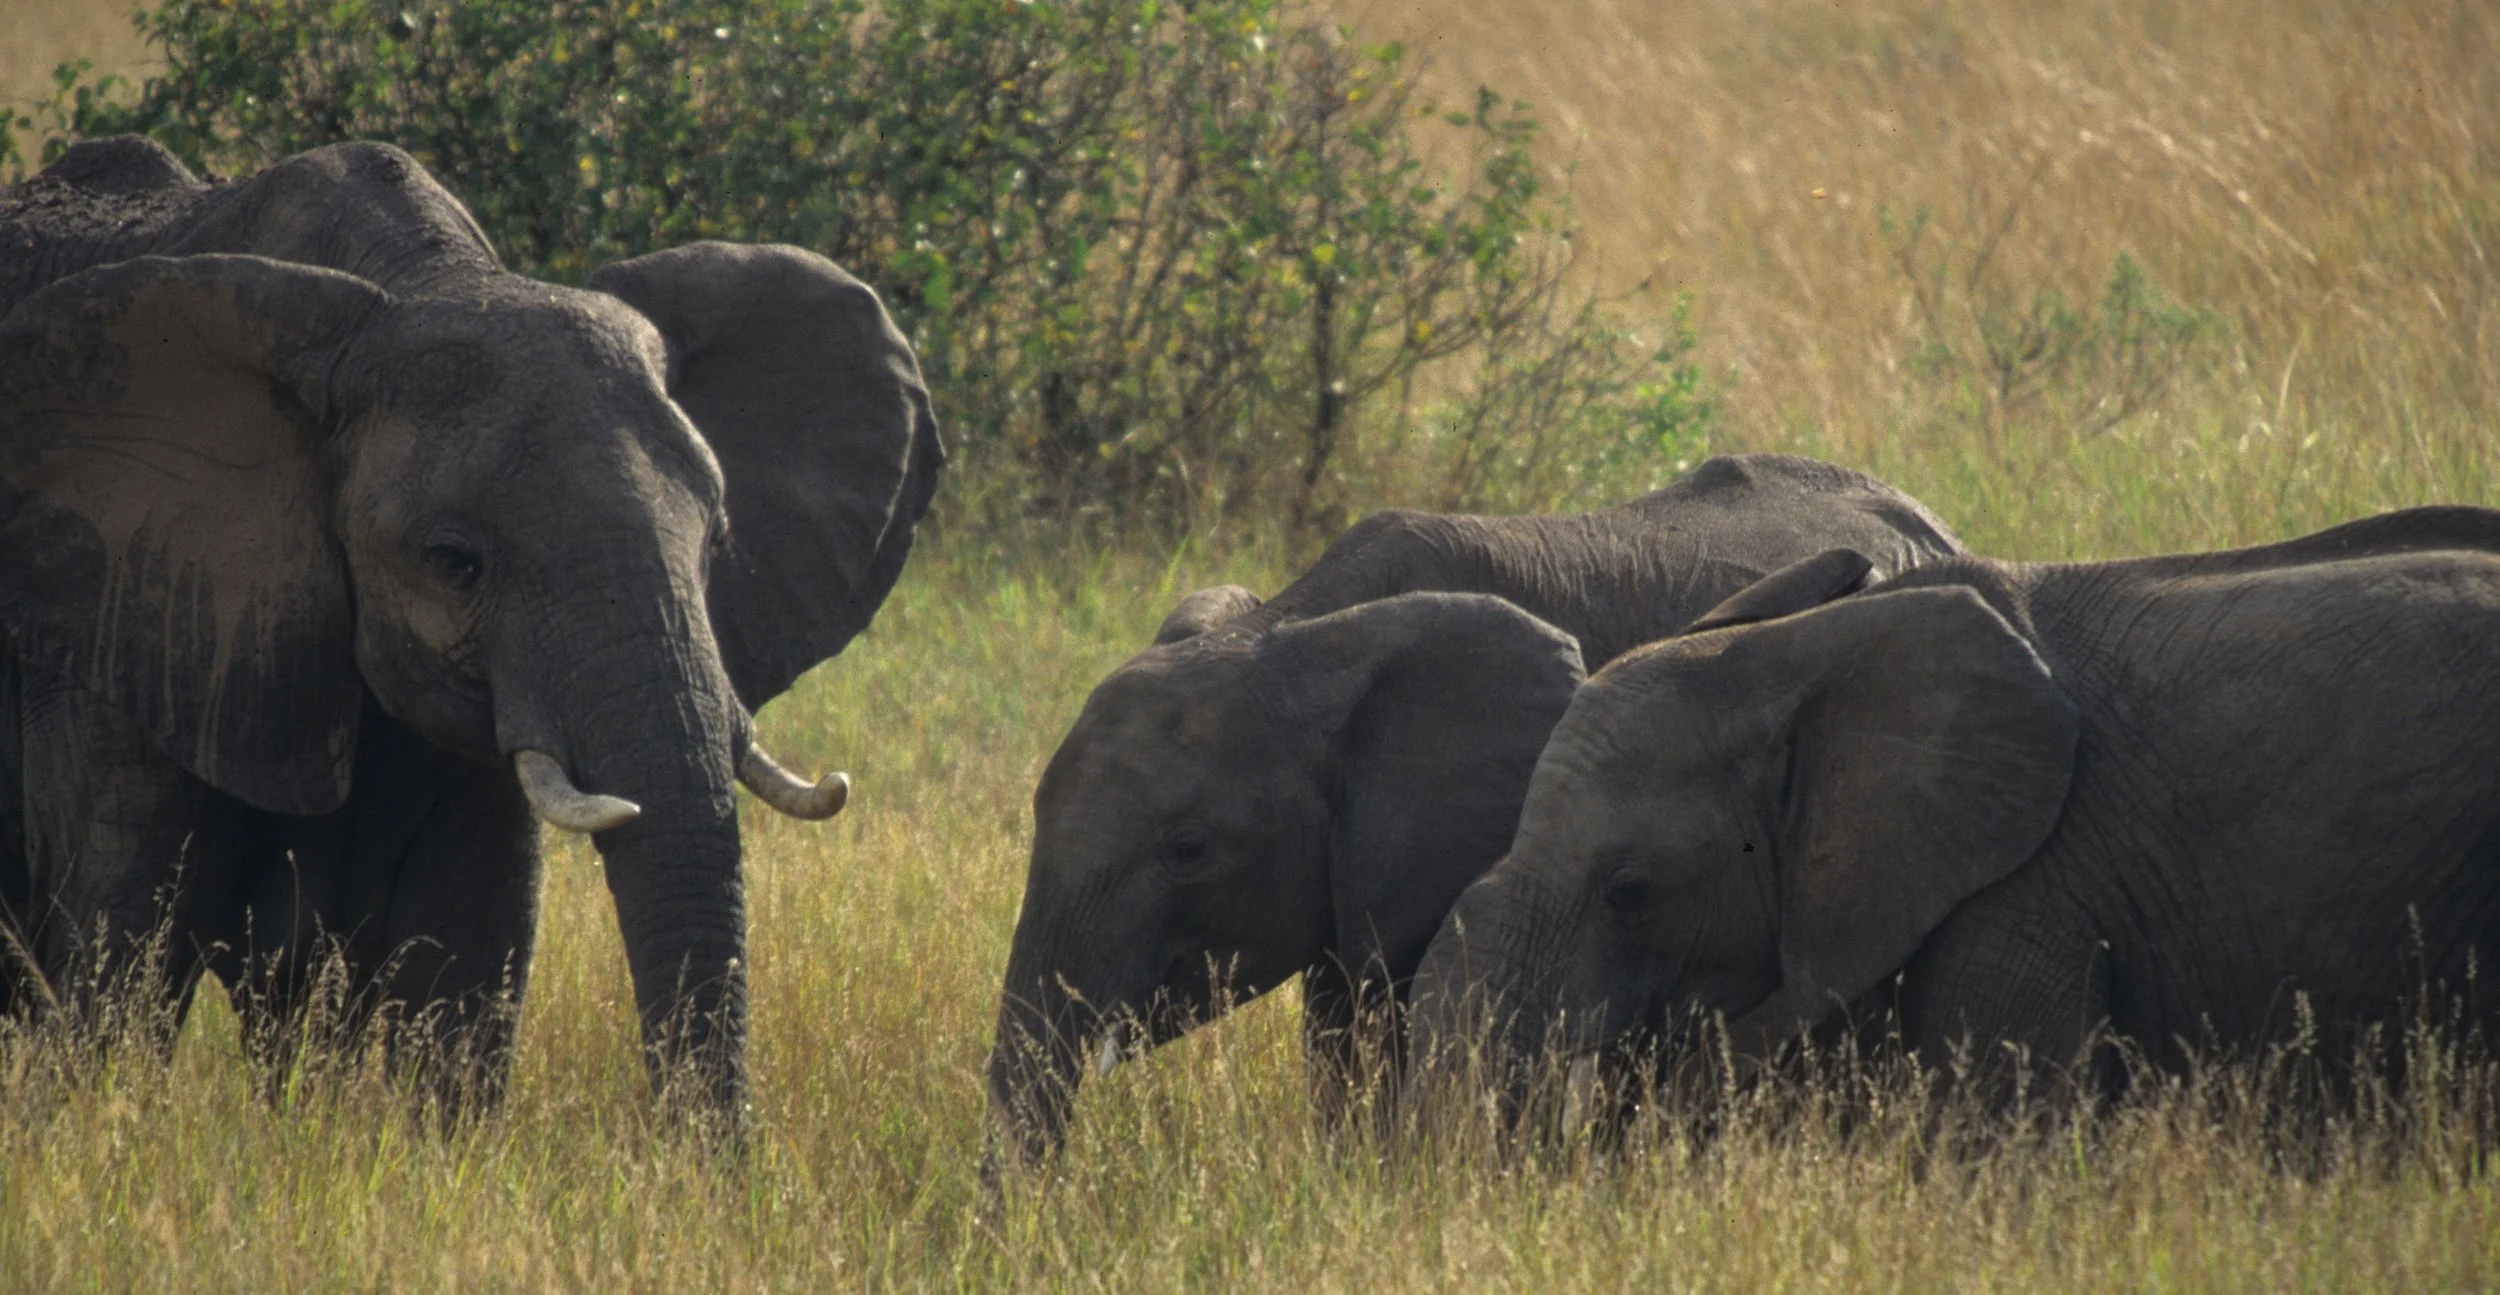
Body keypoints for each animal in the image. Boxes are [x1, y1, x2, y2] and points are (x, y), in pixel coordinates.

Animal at [0, 136, 942, 1118]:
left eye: (718, 540)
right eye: (455, 563)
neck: (417, 281)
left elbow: (471, 958)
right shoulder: (124, 607)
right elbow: (118, 960)